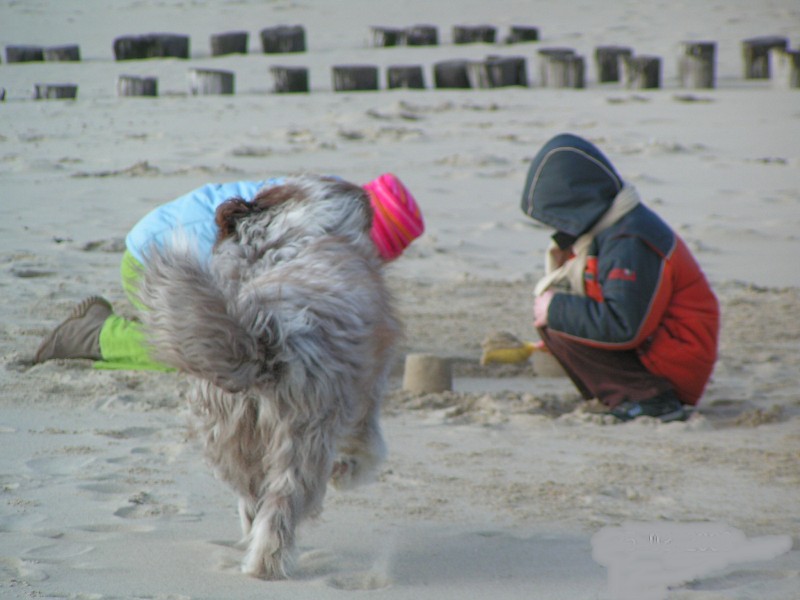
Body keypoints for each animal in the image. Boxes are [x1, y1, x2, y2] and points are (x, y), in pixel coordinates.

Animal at [139, 176, 400, 580]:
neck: (285, 238)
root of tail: (265, 339)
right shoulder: (366, 393)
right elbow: (368, 447)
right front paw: (348, 472)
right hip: (301, 440)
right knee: (281, 507)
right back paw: (267, 564)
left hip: (230, 437)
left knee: (252, 500)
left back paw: (250, 545)